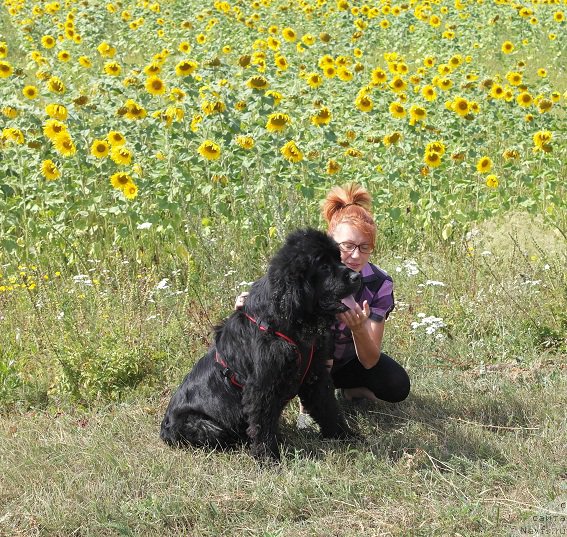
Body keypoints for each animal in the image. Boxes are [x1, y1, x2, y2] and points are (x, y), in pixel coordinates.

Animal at [160, 227, 362, 460]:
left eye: (339, 258)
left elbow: (328, 408)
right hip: (204, 425)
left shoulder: (316, 373)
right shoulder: (262, 385)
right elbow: (262, 423)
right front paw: (268, 457)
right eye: (323, 266)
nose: (357, 276)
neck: (290, 318)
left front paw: (345, 436)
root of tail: (164, 429)